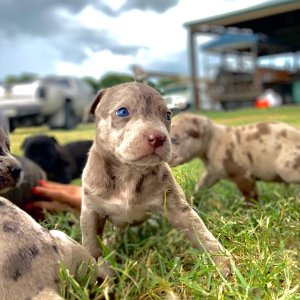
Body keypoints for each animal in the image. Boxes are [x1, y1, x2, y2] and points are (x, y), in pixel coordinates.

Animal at [81, 81, 231, 276]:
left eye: (167, 115)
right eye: (122, 112)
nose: (158, 138)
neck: (129, 172)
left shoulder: (176, 207)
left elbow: (199, 231)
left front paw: (221, 261)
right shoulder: (91, 211)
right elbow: (91, 244)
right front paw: (93, 273)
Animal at [170, 113, 300, 203]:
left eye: (174, 139)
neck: (213, 142)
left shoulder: (243, 176)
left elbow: (250, 197)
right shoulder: (212, 173)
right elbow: (200, 187)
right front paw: (192, 201)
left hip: (285, 167)